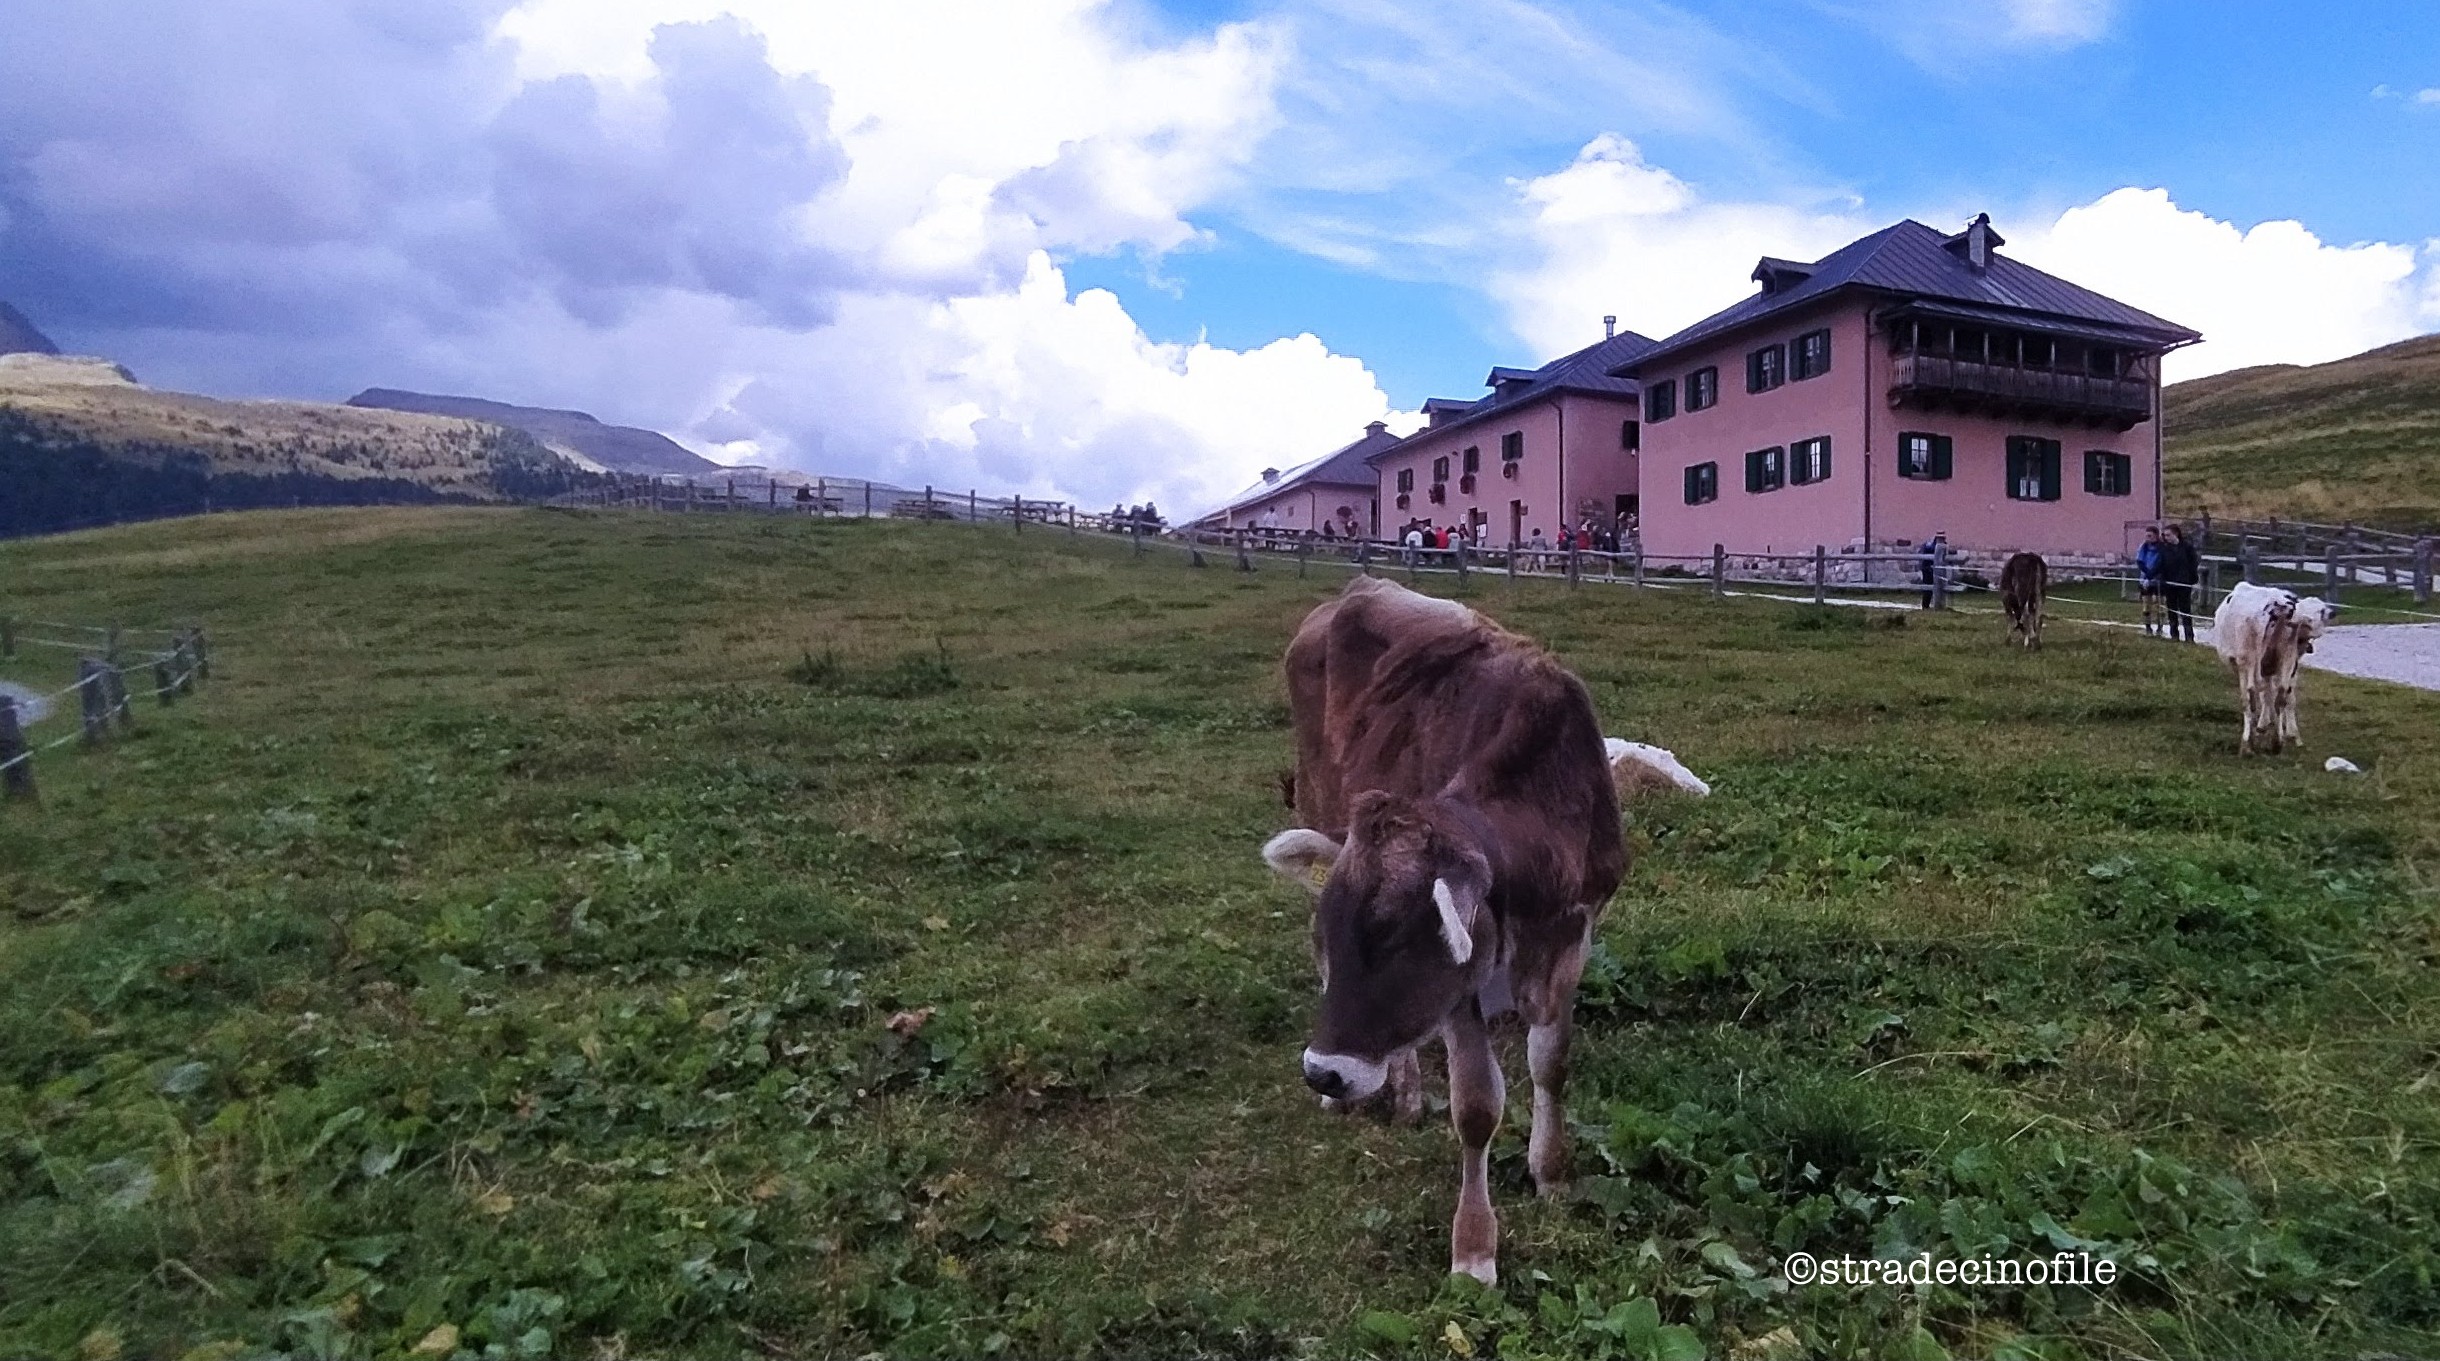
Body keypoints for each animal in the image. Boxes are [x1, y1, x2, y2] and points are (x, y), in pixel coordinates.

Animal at [1268, 575, 1629, 1287]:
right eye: (1332, 940)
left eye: (1402, 943)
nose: (1323, 1073)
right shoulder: (1462, 986)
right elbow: (1477, 1107)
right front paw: (1474, 1252)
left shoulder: (1572, 940)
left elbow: (1551, 1066)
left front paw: (1551, 1175)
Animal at [2215, 580, 2342, 756]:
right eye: (2320, 611)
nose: (2331, 612)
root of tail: (2278, 605)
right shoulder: (2280, 665)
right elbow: (2277, 695)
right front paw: (2274, 727)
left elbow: (2265, 695)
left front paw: (2268, 727)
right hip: (2282, 659)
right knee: (2280, 695)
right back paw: (2276, 742)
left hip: (2248, 661)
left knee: (2250, 697)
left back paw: (2248, 744)